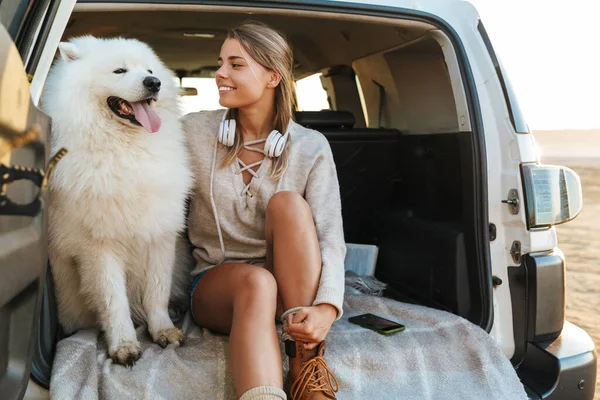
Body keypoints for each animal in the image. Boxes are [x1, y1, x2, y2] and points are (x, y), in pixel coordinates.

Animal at [42, 36, 192, 368]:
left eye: (149, 70)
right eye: (119, 71)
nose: (154, 83)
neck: (126, 149)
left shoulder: (160, 236)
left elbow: (157, 292)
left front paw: (163, 330)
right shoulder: (100, 247)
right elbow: (114, 301)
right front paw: (124, 345)